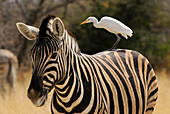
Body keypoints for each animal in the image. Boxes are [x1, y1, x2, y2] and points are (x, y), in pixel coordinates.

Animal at [15, 15, 158, 114]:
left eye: (54, 55)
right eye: (31, 56)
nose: (34, 95)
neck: (66, 97)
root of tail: (133, 51)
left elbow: (117, 37)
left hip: (149, 106)